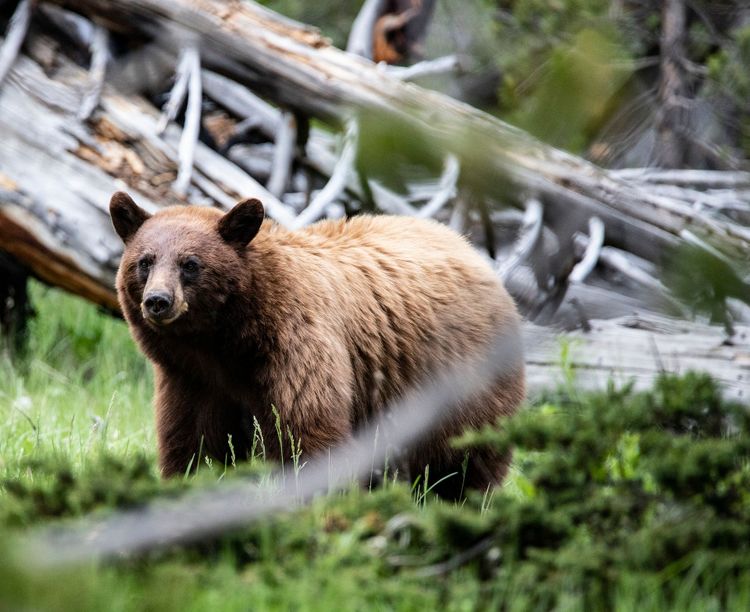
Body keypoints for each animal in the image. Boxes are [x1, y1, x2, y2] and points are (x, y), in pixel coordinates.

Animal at [110, 191, 525, 498]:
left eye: (190, 263)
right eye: (145, 261)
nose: (158, 301)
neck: (226, 341)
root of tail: (475, 253)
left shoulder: (297, 343)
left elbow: (307, 431)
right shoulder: (192, 379)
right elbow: (194, 441)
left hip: (461, 380)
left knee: (466, 460)